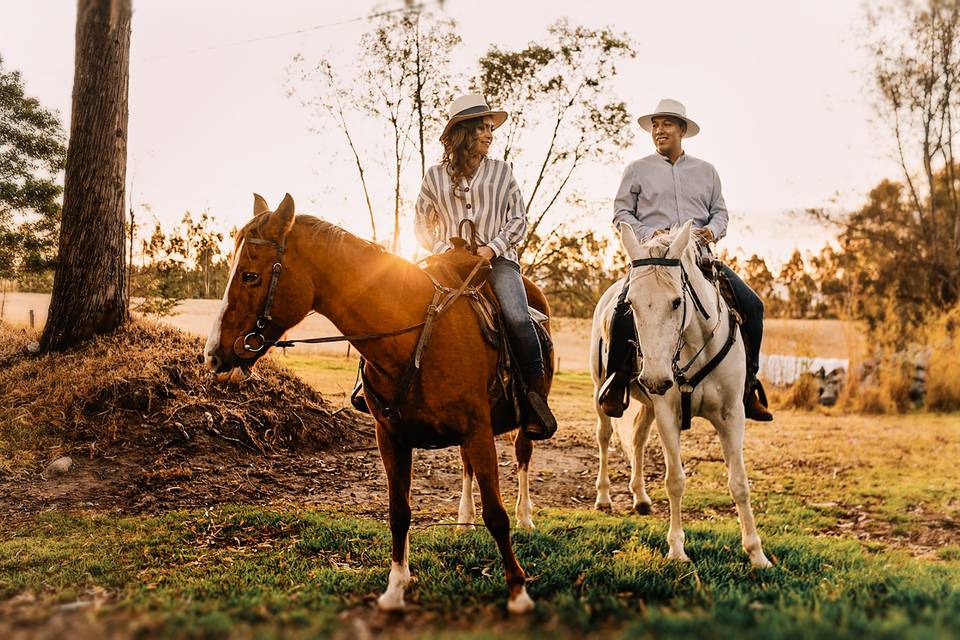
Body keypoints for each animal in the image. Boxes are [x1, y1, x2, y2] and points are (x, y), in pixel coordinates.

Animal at [205, 192, 552, 612]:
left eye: (250, 276)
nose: (213, 355)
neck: (412, 338)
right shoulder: (391, 436)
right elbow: (399, 512)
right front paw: (396, 586)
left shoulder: (477, 430)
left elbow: (497, 515)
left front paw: (518, 591)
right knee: (467, 467)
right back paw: (464, 519)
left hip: (515, 424)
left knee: (522, 456)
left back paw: (526, 517)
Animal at [588, 222, 768, 568]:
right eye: (630, 304)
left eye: (676, 302)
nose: (656, 378)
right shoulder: (668, 415)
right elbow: (675, 481)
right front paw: (676, 549)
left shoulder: (731, 416)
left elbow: (739, 483)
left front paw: (757, 553)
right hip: (601, 391)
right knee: (604, 437)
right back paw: (603, 497)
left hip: (647, 406)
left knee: (638, 440)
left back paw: (640, 497)